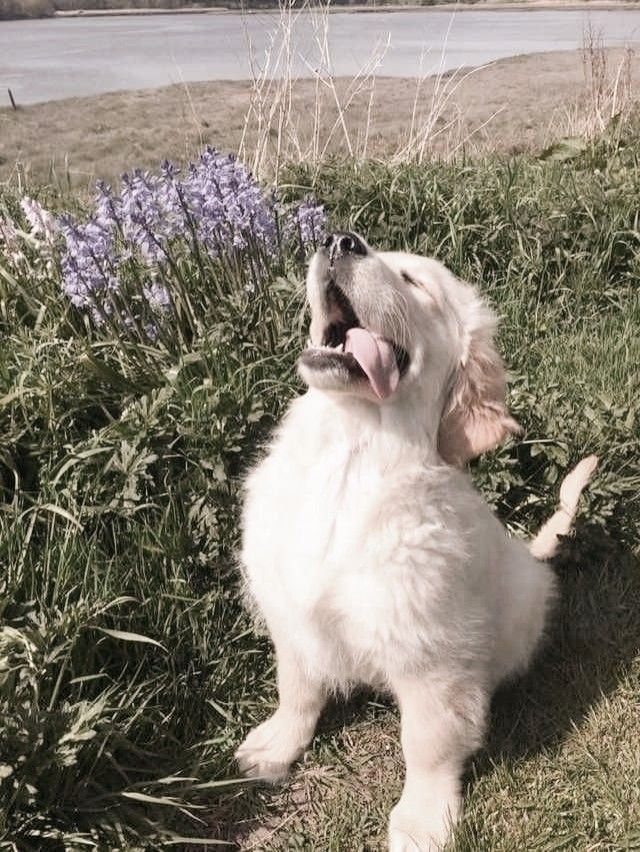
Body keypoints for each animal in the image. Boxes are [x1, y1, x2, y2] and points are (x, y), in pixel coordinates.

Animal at [235, 233, 596, 852]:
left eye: (414, 281)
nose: (340, 240)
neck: (351, 452)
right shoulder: (292, 611)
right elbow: (296, 688)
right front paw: (276, 743)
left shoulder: (433, 652)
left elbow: (427, 742)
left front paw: (423, 818)